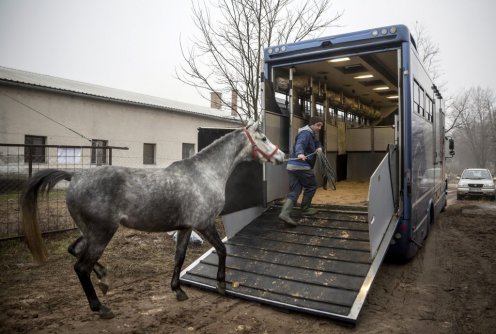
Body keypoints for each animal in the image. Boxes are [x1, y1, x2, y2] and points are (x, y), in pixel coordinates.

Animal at [22, 120, 282, 318]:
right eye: (263, 138)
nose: (281, 156)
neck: (204, 174)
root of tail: (75, 176)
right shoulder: (204, 224)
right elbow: (222, 250)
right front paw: (220, 285)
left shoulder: (186, 228)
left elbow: (179, 257)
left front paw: (178, 290)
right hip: (101, 233)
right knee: (81, 267)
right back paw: (100, 307)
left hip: (89, 232)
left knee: (74, 250)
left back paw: (104, 279)